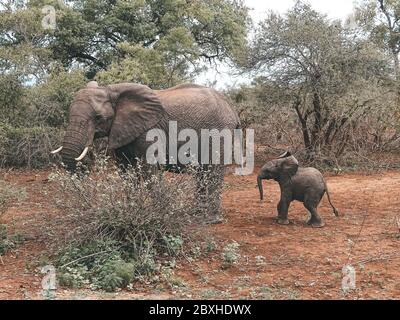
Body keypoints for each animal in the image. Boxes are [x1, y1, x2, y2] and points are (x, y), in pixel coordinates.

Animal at [52, 81, 241, 224]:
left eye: (98, 117)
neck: (111, 90)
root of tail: (232, 108)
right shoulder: (123, 129)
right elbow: (126, 171)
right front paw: (131, 210)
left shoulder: (149, 129)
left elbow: (149, 168)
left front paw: (159, 215)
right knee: (203, 173)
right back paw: (196, 214)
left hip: (218, 130)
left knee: (213, 172)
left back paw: (210, 220)